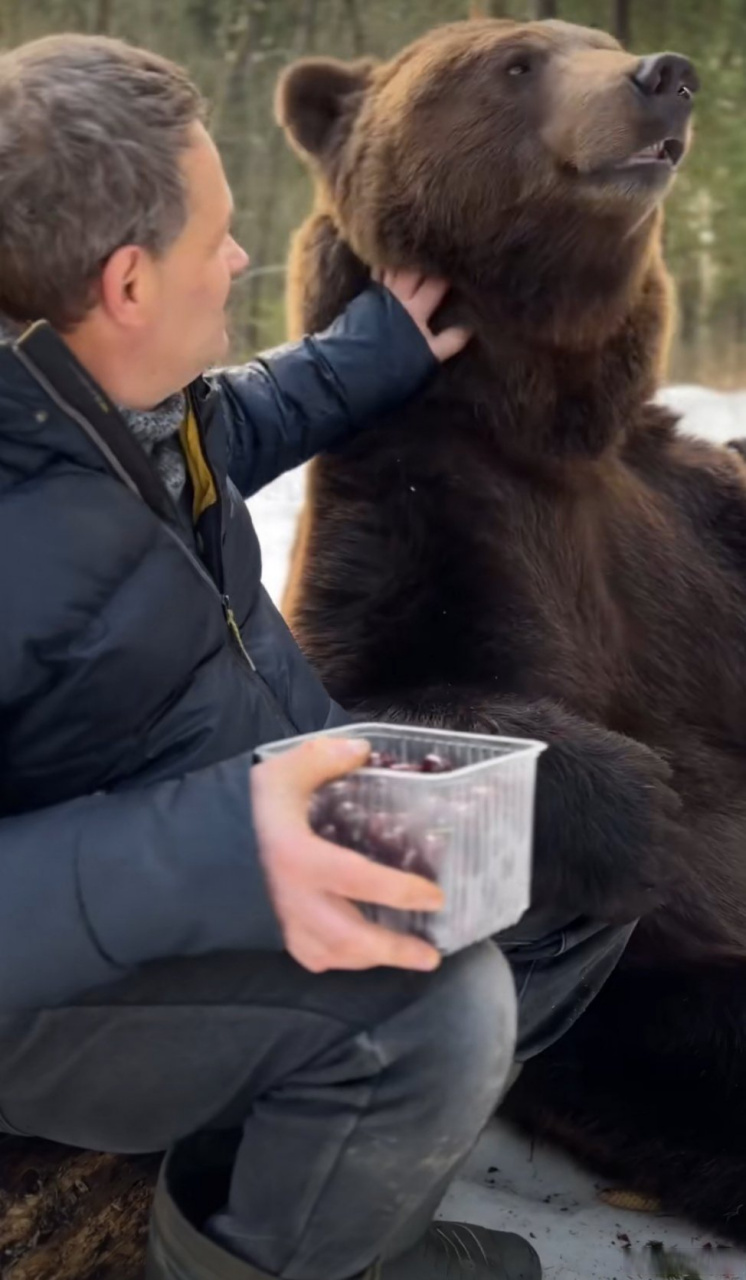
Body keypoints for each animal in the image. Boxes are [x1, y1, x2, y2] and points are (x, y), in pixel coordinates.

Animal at [274, 17, 746, 1243]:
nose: (663, 76)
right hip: (660, 1018)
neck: (541, 417)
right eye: (515, 62)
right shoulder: (416, 505)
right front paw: (635, 795)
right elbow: (361, 690)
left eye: (602, 37)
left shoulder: (692, 525)